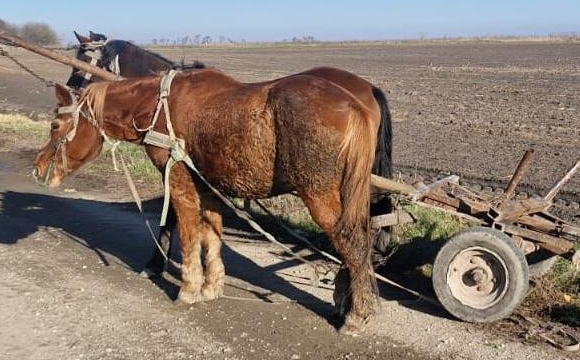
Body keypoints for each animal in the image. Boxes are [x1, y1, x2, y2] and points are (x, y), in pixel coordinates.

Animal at [35, 69, 380, 334]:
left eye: (55, 126)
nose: (38, 167)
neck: (158, 107)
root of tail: (354, 104)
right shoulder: (209, 187)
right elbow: (210, 235)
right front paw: (212, 285)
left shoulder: (179, 181)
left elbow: (188, 233)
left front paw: (189, 288)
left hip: (319, 194)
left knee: (352, 244)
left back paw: (356, 315)